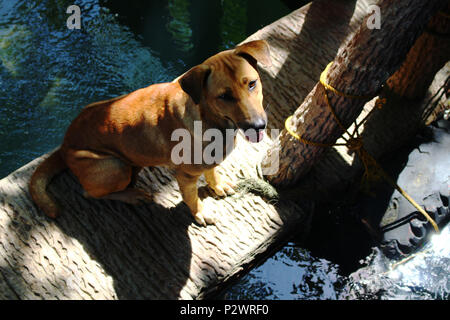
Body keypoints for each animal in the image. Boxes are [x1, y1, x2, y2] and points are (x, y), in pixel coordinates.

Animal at [30, 39, 274, 225]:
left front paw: (218, 185)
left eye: (252, 84)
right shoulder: (185, 176)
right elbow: (192, 198)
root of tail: (64, 145)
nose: (258, 125)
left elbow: (212, 172)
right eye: (224, 96)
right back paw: (133, 195)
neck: (211, 120)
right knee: (90, 192)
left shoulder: (210, 161)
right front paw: (200, 213)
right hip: (114, 167)